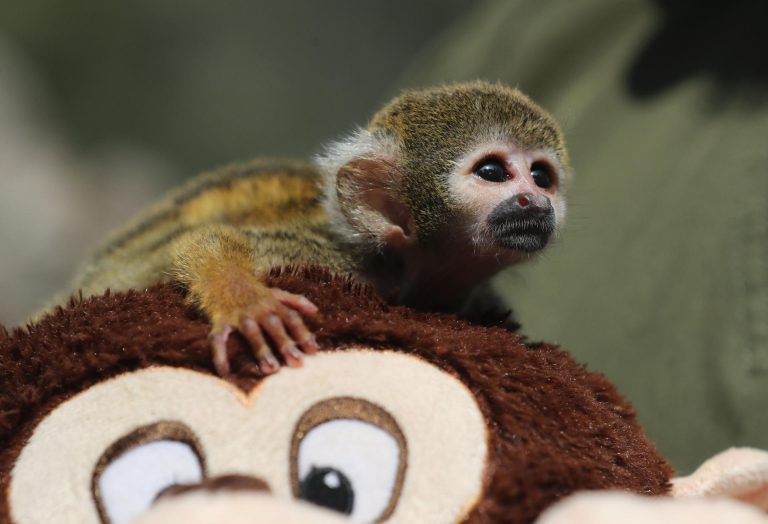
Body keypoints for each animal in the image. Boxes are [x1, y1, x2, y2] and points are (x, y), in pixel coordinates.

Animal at [57, 81, 571, 376]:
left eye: (541, 176)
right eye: (493, 172)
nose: (535, 200)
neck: (406, 270)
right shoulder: (326, 260)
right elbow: (205, 243)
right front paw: (244, 300)